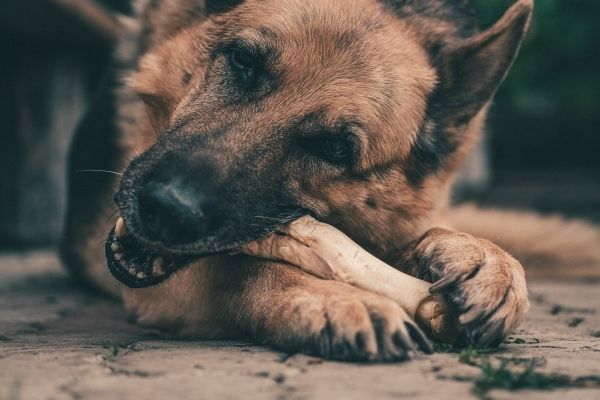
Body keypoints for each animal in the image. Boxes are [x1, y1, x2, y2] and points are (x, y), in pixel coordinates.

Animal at [59, 0, 592, 362]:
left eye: (334, 148)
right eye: (243, 61)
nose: (167, 208)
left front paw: (484, 258)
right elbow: (236, 267)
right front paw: (332, 296)